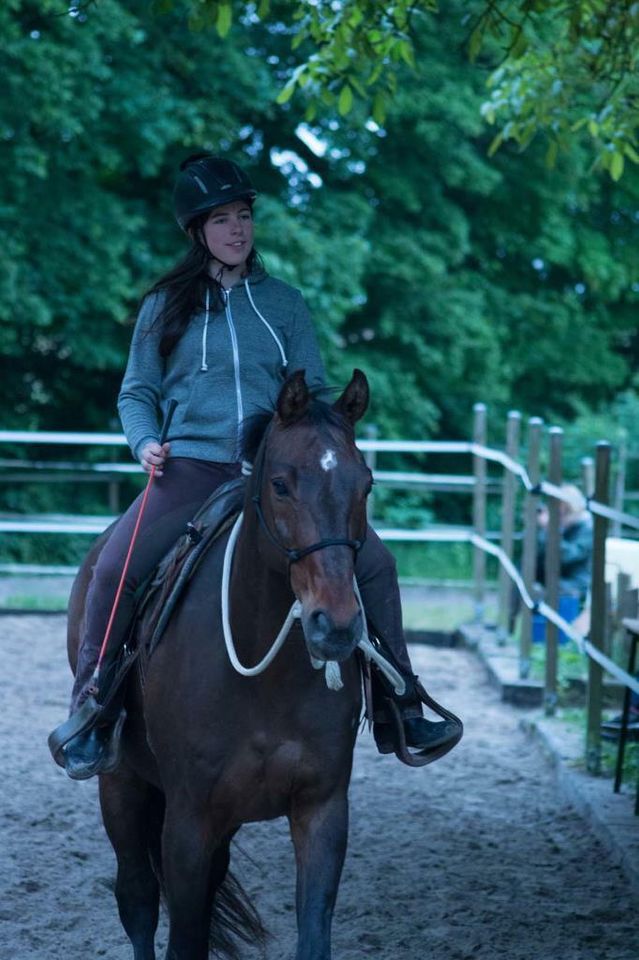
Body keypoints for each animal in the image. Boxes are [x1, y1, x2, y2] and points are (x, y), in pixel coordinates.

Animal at [67, 370, 372, 960]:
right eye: (280, 484)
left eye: (366, 484)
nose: (336, 625)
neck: (265, 679)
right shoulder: (188, 821)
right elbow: (181, 937)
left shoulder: (322, 810)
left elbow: (311, 935)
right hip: (121, 784)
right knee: (137, 898)